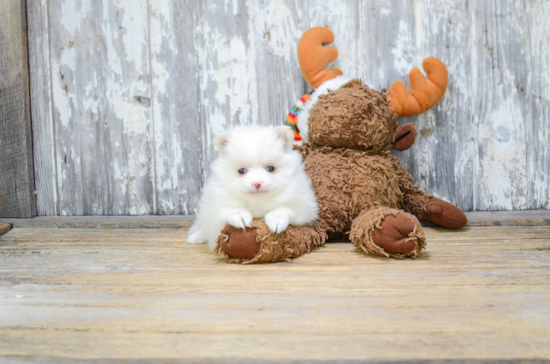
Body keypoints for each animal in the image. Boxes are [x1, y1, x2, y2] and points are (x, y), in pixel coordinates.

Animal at [189, 123, 320, 249]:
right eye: (241, 171)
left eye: (270, 168)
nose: (257, 183)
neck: (258, 202)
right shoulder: (215, 207)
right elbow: (228, 209)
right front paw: (240, 216)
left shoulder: (303, 206)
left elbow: (284, 208)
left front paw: (276, 220)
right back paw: (196, 237)